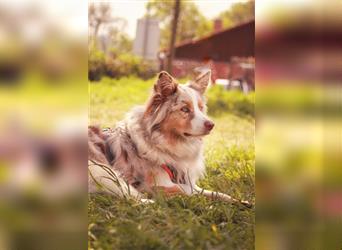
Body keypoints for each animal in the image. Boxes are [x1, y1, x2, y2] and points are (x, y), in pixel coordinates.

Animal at [89, 70, 250, 207]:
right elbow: (188, 192)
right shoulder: (157, 185)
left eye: (200, 108)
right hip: (104, 171)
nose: (211, 125)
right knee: (132, 197)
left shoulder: (187, 181)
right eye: (184, 109)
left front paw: (239, 201)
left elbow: (212, 192)